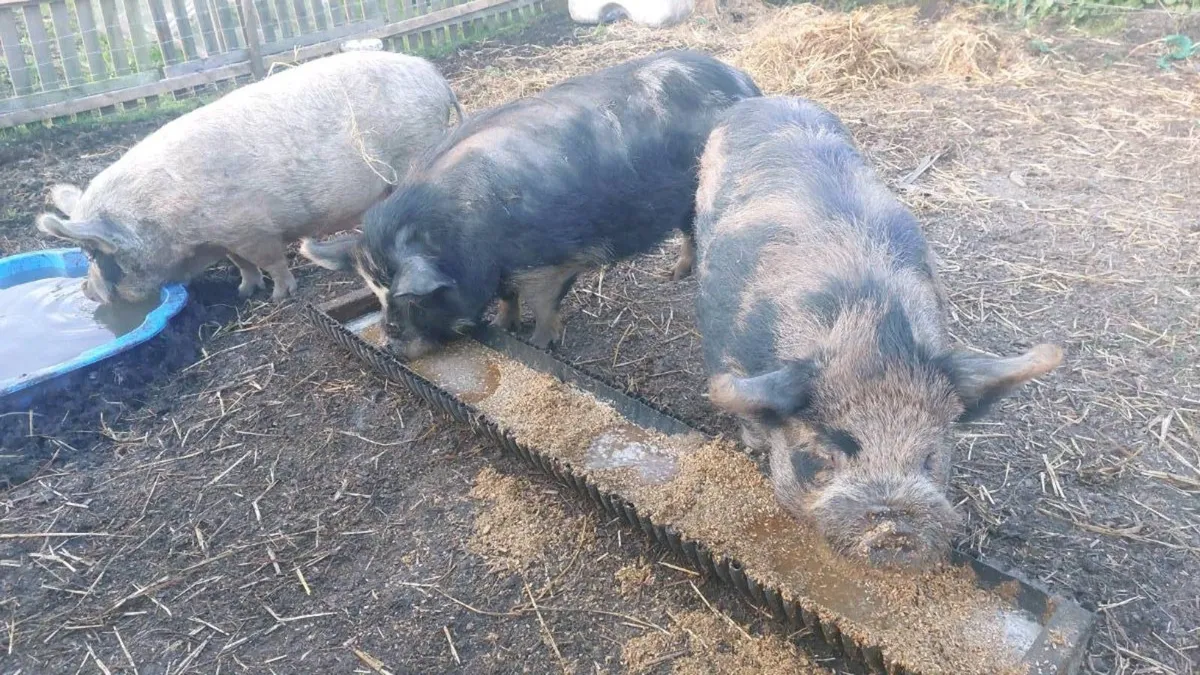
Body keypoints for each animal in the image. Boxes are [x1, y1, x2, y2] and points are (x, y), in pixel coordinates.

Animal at [35, 51, 463, 304]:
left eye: (94, 254)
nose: (86, 291)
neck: (169, 224)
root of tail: (436, 77)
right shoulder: (226, 238)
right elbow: (241, 264)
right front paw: (244, 292)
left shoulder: (252, 228)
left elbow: (271, 260)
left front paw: (279, 297)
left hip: (416, 148)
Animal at [301, 50, 761, 359]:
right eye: (375, 294)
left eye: (411, 299)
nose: (390, 345)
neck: (466, 235)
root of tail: (743, 80)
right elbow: (508, 296)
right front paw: (504, 326)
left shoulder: (556, 261)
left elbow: (544, 304)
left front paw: (540, 343)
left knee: (693, 232)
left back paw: (676, 276)